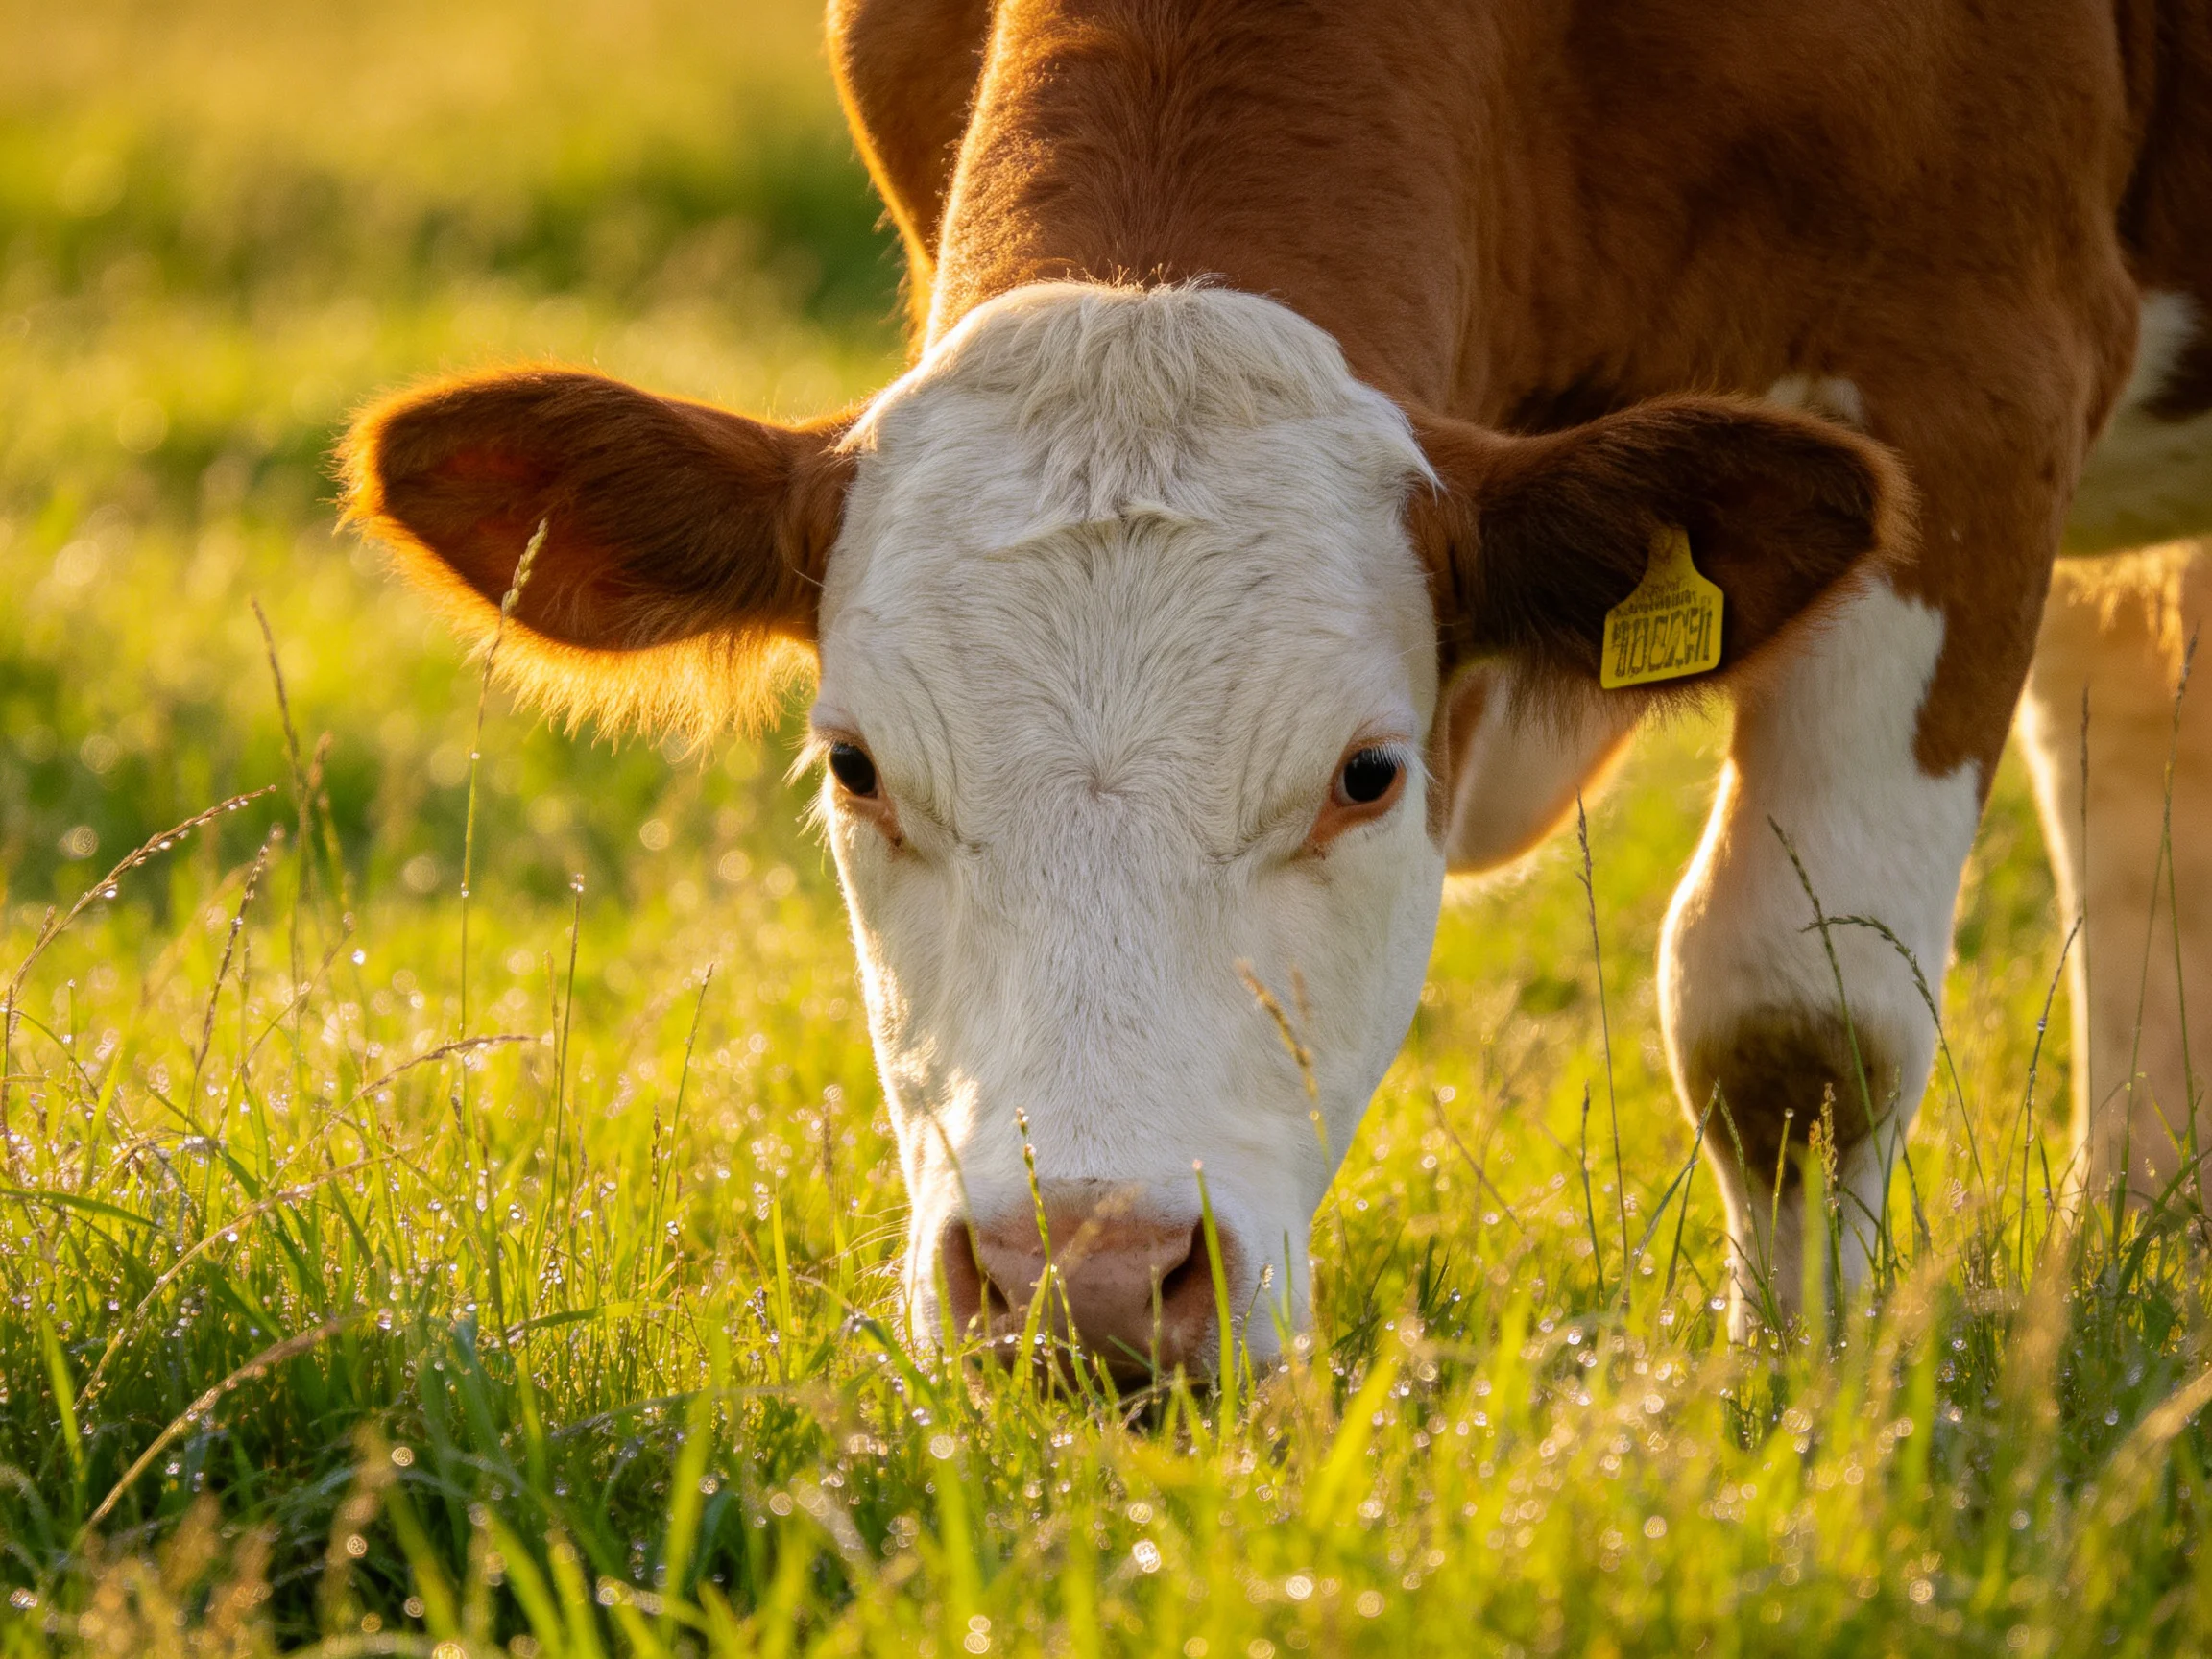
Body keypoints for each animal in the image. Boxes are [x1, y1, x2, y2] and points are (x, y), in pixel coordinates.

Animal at [342, 0, 2212, 1369]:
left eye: (1364, 774)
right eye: (855, 766)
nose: (1089, 1279)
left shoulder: (1966, 371)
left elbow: (1795, 1017)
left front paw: (1797, 1410)